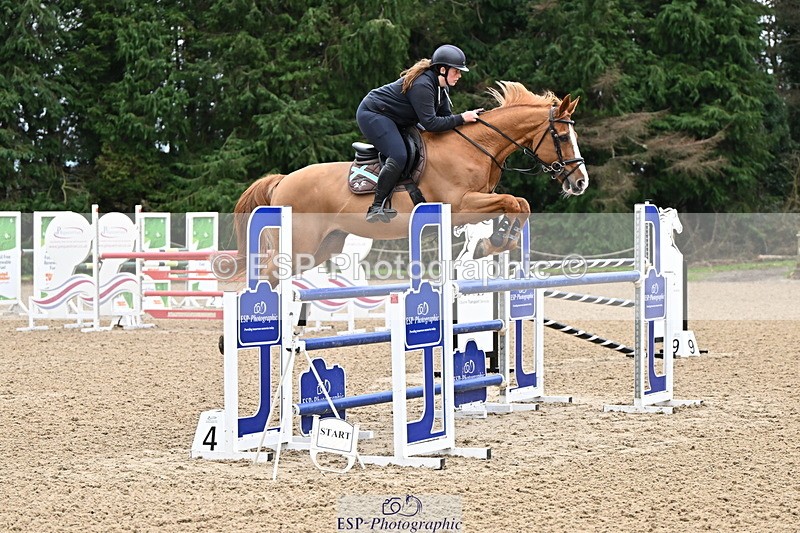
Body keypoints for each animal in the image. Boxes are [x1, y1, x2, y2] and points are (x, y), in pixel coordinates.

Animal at [233, 81, 588, 285]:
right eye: (560, 136)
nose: (580, 182)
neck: (477, 145)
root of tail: (281, 182)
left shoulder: (478, 201)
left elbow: (520, 204)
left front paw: (497, 241)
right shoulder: (460, 205)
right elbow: (514, 202)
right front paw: (494, 242)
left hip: (321, 248)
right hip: (299, 246)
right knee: (265, 276)